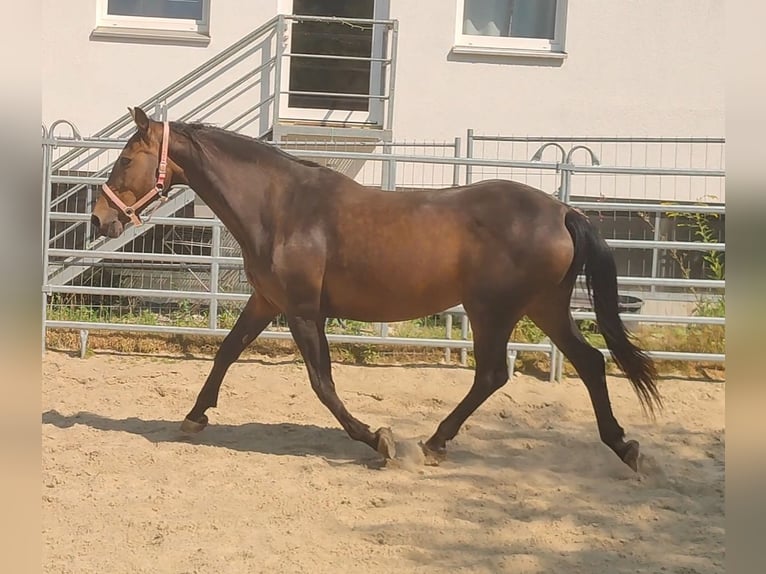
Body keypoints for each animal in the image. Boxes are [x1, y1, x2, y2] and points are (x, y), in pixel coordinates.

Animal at [90, 107, 661, 472]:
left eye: (125, 161)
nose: (99, 219)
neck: (282, 207)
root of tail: (564, 210)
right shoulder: (267, 302)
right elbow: (226, 352)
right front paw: (194, 417)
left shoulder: (303, 311)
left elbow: (322, 383)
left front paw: (378, 440)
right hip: (545, 307)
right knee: (590, 362)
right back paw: (623, 446)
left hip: (492, 310)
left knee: (493, 374)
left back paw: (431, 443)